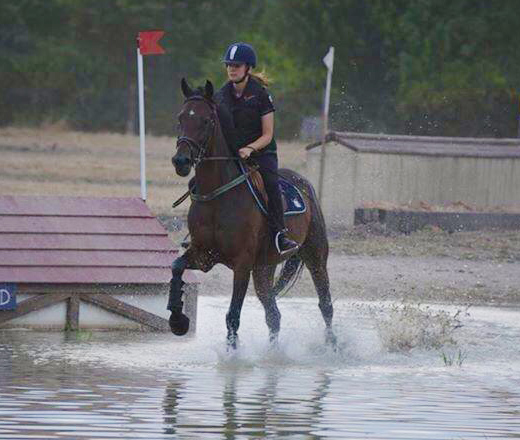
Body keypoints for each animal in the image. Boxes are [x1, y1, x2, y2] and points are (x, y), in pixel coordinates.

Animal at [169, 77, 336, 348]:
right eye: (181, 118)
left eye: (205, 120)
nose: (181, 161)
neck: (217, 196)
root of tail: (305, 185)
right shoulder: (203, 255)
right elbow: (176, 267)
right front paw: (177, 320)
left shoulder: (242, 264)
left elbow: (233, 315)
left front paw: (231, 354)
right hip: (263, 269)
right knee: (274, 315)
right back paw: (273, 353)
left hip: (315, 255)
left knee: (325, 305)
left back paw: (332, 348)